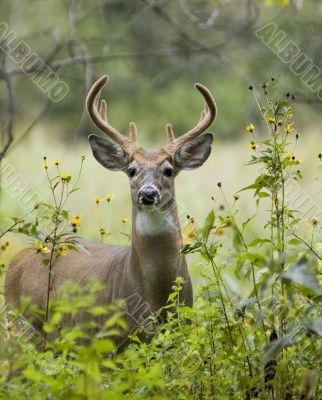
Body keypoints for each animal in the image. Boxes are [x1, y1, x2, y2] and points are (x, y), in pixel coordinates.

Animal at [4, 75, 216, 344]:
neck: (154, 295)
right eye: (132, 170)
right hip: (21, 327)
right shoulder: (113, 335)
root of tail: (16, 259)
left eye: (168, 170)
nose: (148, 194)